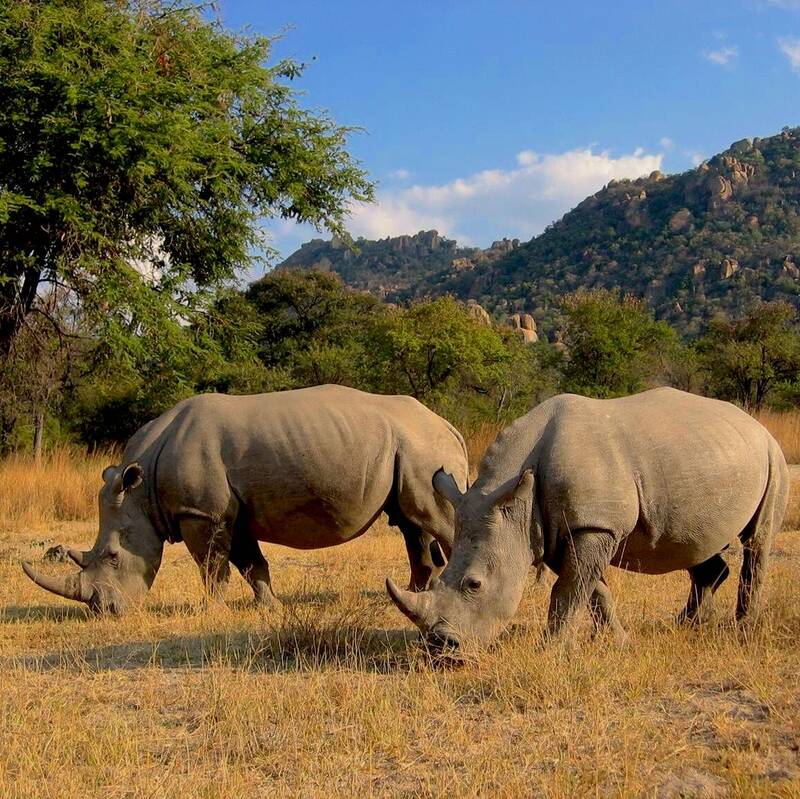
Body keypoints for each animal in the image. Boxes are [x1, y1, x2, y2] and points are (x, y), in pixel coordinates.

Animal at [23, 385, 468, 614]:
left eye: (113, 557)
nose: (104, 610)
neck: (143, 487)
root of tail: (448, 424)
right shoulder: (227, 512)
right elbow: (251, 563)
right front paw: (270, 607)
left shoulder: (201, 513)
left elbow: (212, 566)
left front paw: (212, 612)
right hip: (410, 448)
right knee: (410, 522)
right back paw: (414, 594)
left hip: (425, 449)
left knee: (435, 521)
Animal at [387, 388, 789, 651]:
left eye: (474, 584)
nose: (441, 648)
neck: (514, 502)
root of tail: (755, 425)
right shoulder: (557, 531)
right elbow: (591, 589)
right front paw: (619, 642)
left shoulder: (593, 526)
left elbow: (568, 590)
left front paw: (551, 650)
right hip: (709, 456)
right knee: (697, 547)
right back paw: (686, 626)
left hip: (773, 456)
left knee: (758, 541)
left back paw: (742, 632)